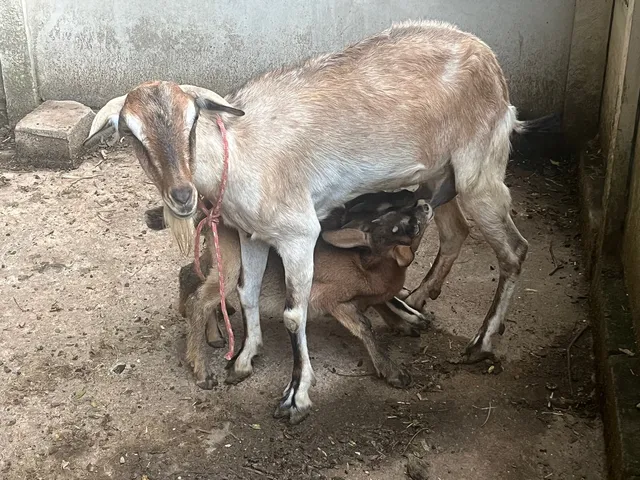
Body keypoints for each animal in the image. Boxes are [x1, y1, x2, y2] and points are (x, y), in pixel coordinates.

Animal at [86, 20, 545, 423]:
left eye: (192, 121)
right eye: (130, 133)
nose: (181, 197)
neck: (244, 153)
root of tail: (489, 60)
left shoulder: (299, 234)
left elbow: (295, 313)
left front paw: (296, 396)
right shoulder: (253, 235)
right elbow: (247, 293)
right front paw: (243, 359)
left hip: (479, 169)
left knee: (514, 250)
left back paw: (481, 343)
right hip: (438, 174)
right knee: (454, 232)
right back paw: (416, 301)